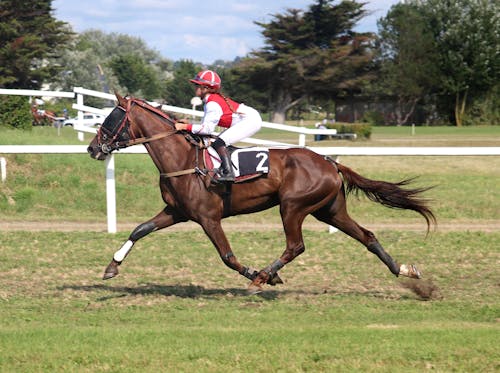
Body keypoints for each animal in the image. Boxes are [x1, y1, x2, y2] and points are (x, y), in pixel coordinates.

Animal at [88, 93, 436, 294]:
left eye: (111, 119)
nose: (92, 148)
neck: (183, 159)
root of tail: (329, 162)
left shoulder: (208, 217)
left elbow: (227, 256)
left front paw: (255, 274)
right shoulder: (177, 212)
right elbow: (140, 229)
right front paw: (112, 267)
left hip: (293, 207)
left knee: (295, 246)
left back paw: (264, 277)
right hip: (330, 210)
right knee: (367, 236)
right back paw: (404, 270)